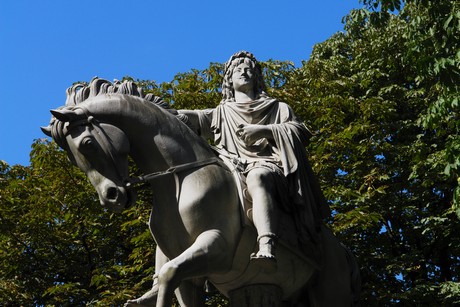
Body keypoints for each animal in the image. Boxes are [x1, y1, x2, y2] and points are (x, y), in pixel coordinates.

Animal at [42, 78, 360, 306]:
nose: (110, 197)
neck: (180, 179)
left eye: (87, 144)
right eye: (73, 159)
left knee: (260, 178)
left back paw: (266, 251)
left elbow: (167, 275)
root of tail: (344, 252)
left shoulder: (217, 246)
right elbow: (169, 278)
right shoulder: (189, 274)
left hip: (328, 296)